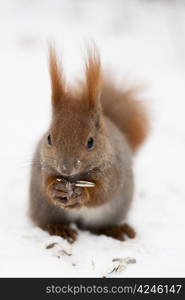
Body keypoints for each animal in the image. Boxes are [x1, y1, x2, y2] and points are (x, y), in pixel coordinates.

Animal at [29, 45, 150, 243]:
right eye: (49, 138)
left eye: (90, 142)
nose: (65, 168)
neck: (74, 178)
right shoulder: (43, 166)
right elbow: (45, 182)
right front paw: (54, 189)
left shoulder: (113, 171)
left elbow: (103, 192)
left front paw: (82, 195)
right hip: (43, 208)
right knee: (44, 221)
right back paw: (58, 228)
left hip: (112, 212)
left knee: (99, 226)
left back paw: (116, 230)